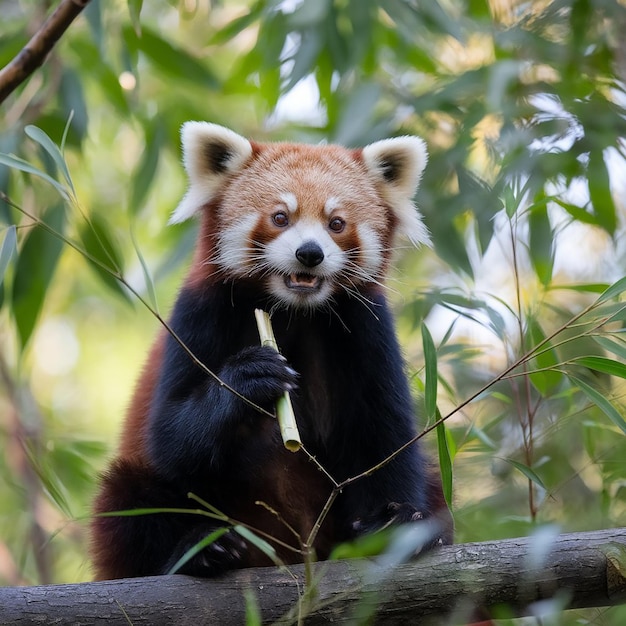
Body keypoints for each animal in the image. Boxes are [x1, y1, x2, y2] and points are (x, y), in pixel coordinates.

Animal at [89, 119, 448, 576]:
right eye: (280, 217)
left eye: (336, 223)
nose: (309, 253)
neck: (292, 310)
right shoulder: (200, 315)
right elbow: (169, 436)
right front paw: (250, 377)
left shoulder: (367, 328)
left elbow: (383, 438)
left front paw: (392, 524)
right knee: (127, 497)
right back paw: (200, 550)